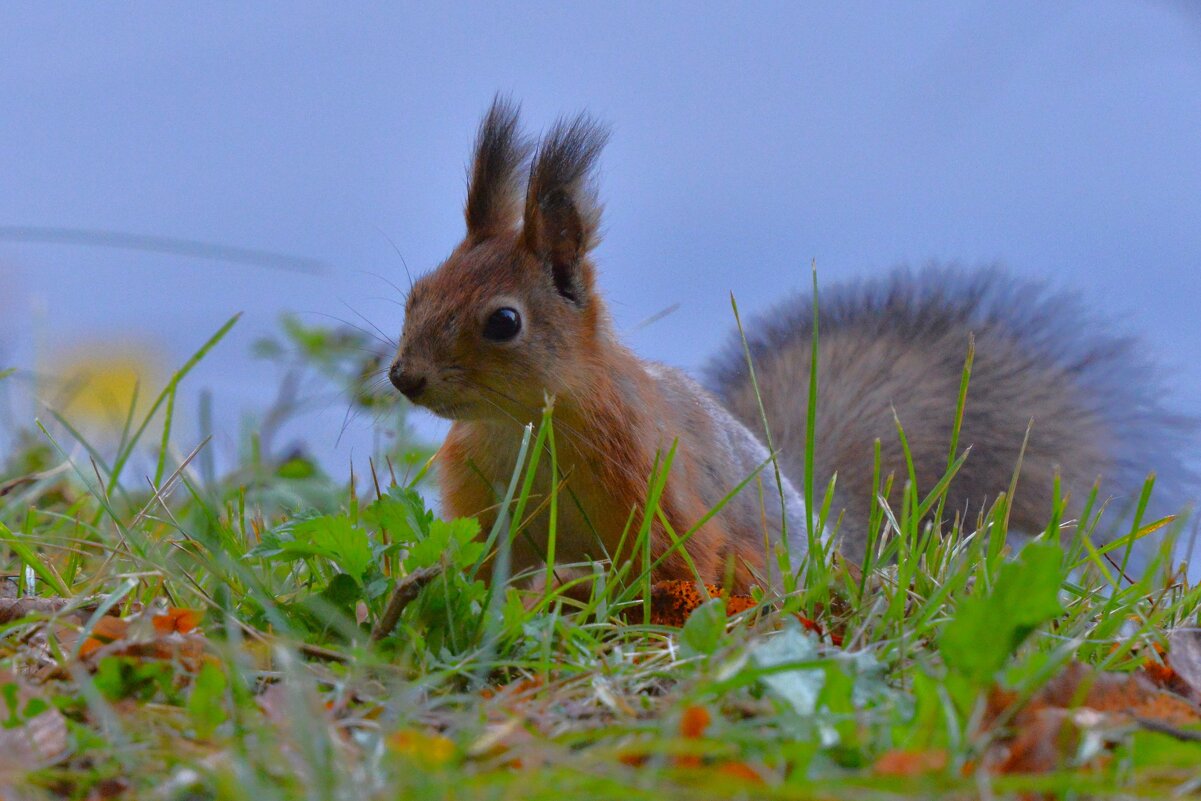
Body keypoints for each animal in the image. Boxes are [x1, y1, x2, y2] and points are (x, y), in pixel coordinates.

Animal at [391, 97, 1191, 593]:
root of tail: (826, 538)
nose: (403, 377)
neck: (521, 423)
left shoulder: (658, 489)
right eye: (418, 291)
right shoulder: (486, 513)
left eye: (503, 322)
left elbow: (668, 566)